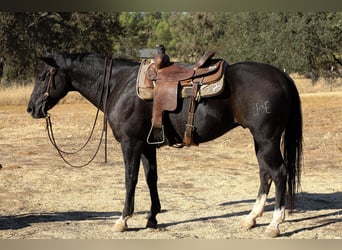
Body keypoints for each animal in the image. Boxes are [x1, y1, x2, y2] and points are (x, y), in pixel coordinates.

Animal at [27, 52, 302, 236]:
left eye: (41, 76)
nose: (31, 109)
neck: (119, 84)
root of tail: (281, 77)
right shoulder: (147, 145)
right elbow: (151, 178)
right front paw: (152, 218)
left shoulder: (131, 143)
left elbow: (130, 179)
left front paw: (123, 220)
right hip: (260, 140)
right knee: (265, 173)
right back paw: (251, 218)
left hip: (267, 139)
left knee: (279, 173)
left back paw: (274, 224)